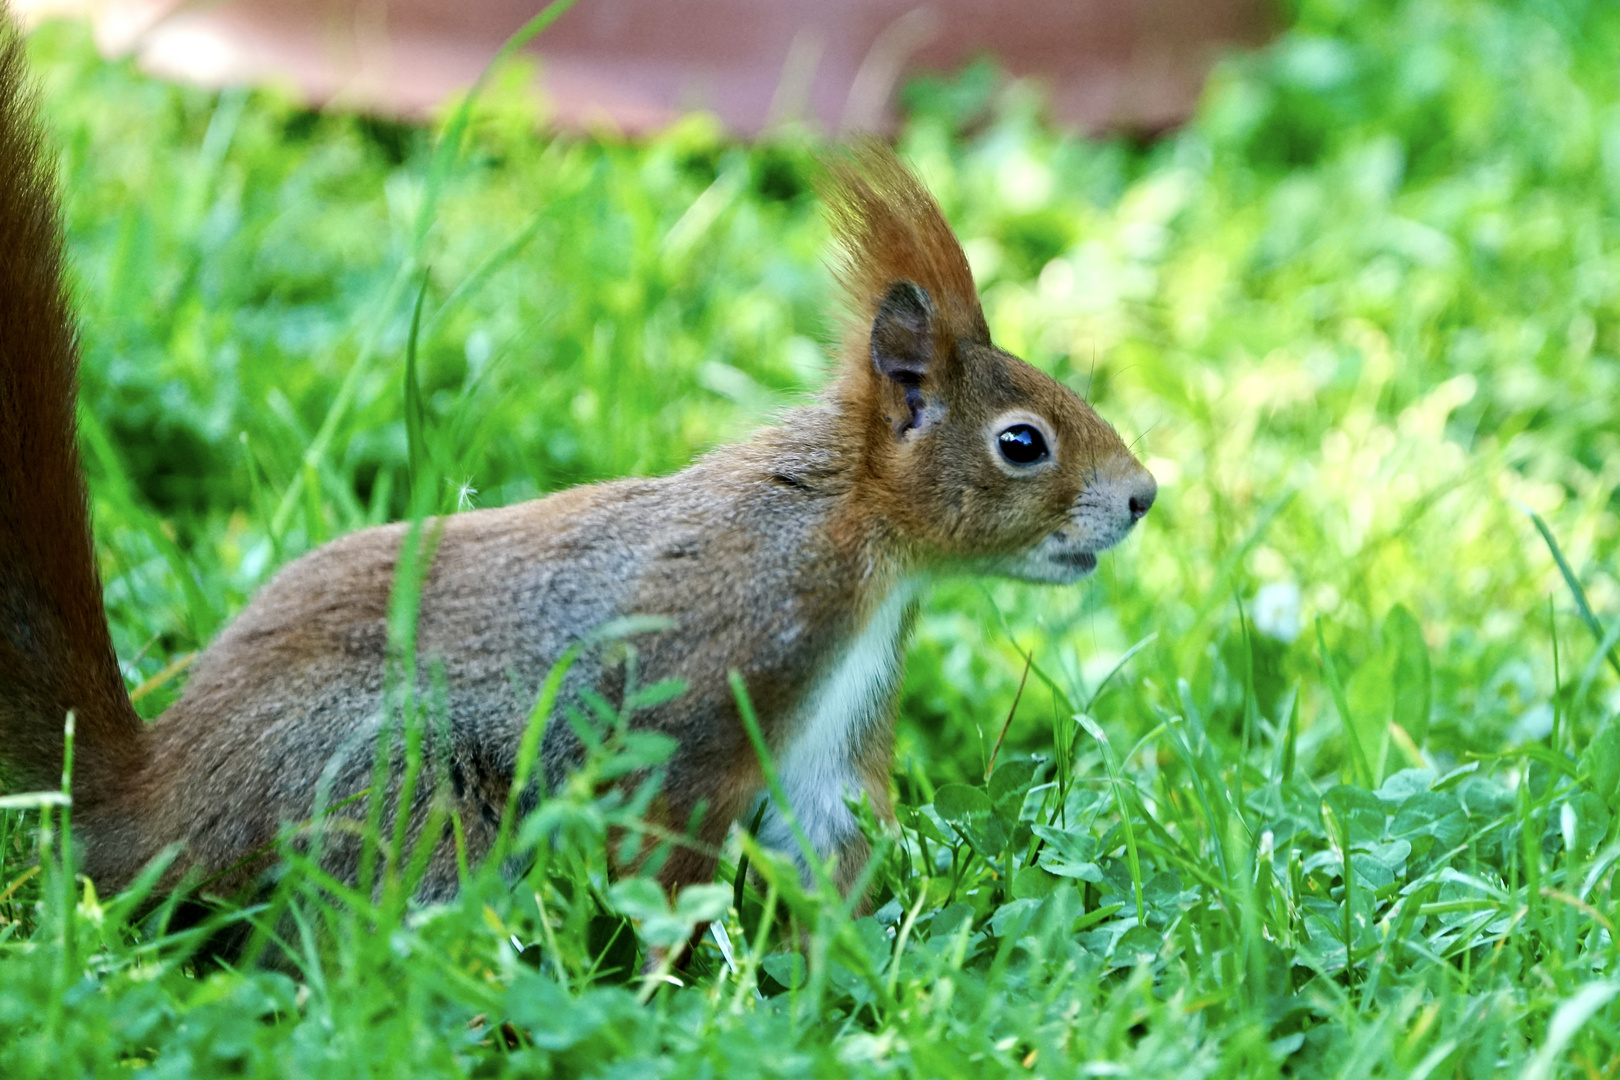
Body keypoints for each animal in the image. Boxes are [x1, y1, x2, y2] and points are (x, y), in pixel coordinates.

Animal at [0, 16, 1153, 913]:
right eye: (1022, 443)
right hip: (394, 781)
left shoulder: (832, 738)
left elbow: (827, 851)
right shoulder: (709, 679)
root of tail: (156, 802)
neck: (857, 541)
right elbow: (668, 855)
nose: (1144, 497)